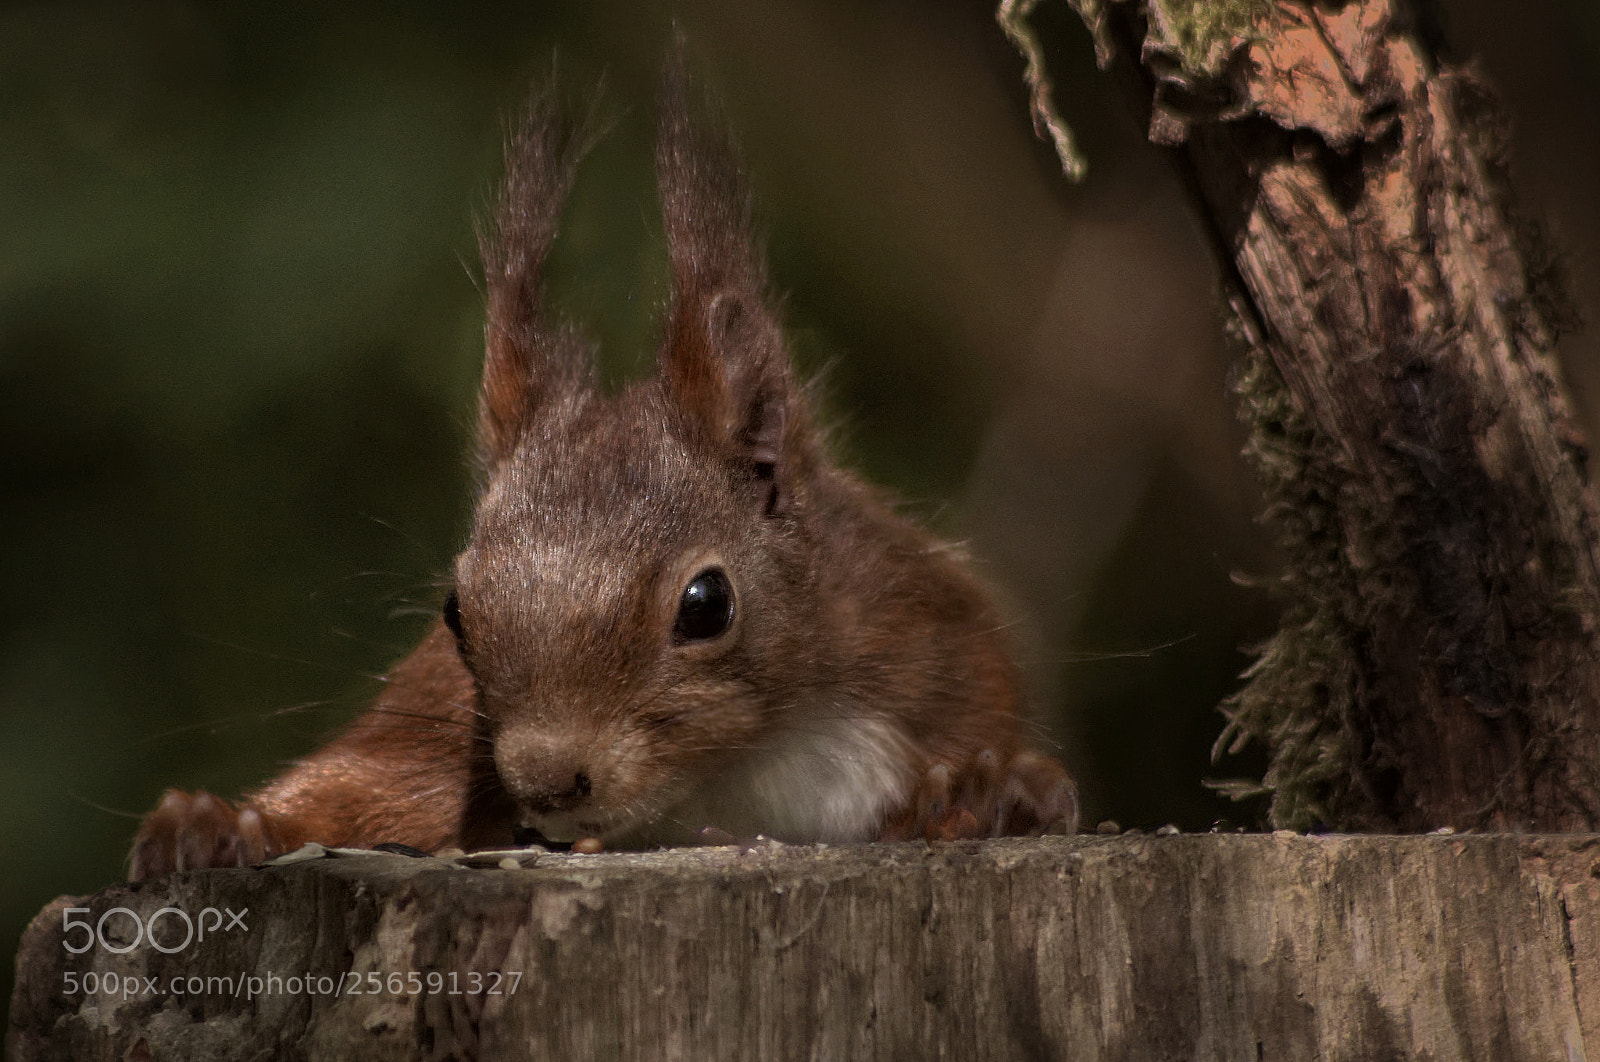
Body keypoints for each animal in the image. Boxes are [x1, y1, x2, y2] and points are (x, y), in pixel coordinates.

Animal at [129, 60, 1078, 880]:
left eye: (708, 604)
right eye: (455, 612)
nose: (547, 781)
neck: (728, 770)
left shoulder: (924, 643)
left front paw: (990, 791)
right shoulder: (436, 723)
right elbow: (358, 784)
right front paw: (220, 826)